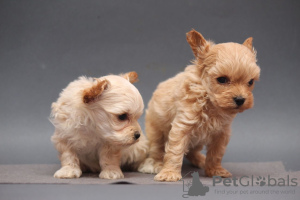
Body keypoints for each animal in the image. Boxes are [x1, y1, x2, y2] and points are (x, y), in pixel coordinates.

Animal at [138, 29, 260, 181]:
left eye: (250, 82)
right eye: (222, 80)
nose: (240, 99)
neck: (210, 100)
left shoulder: (221, 133)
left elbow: (216, 153)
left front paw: (215, 170)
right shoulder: (181, 127)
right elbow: (175, 151)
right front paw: (169, 173)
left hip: (197, 142)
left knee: (191, 152)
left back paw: (201, 160)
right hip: (155, 130)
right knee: (157, 149)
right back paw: (156, 164)